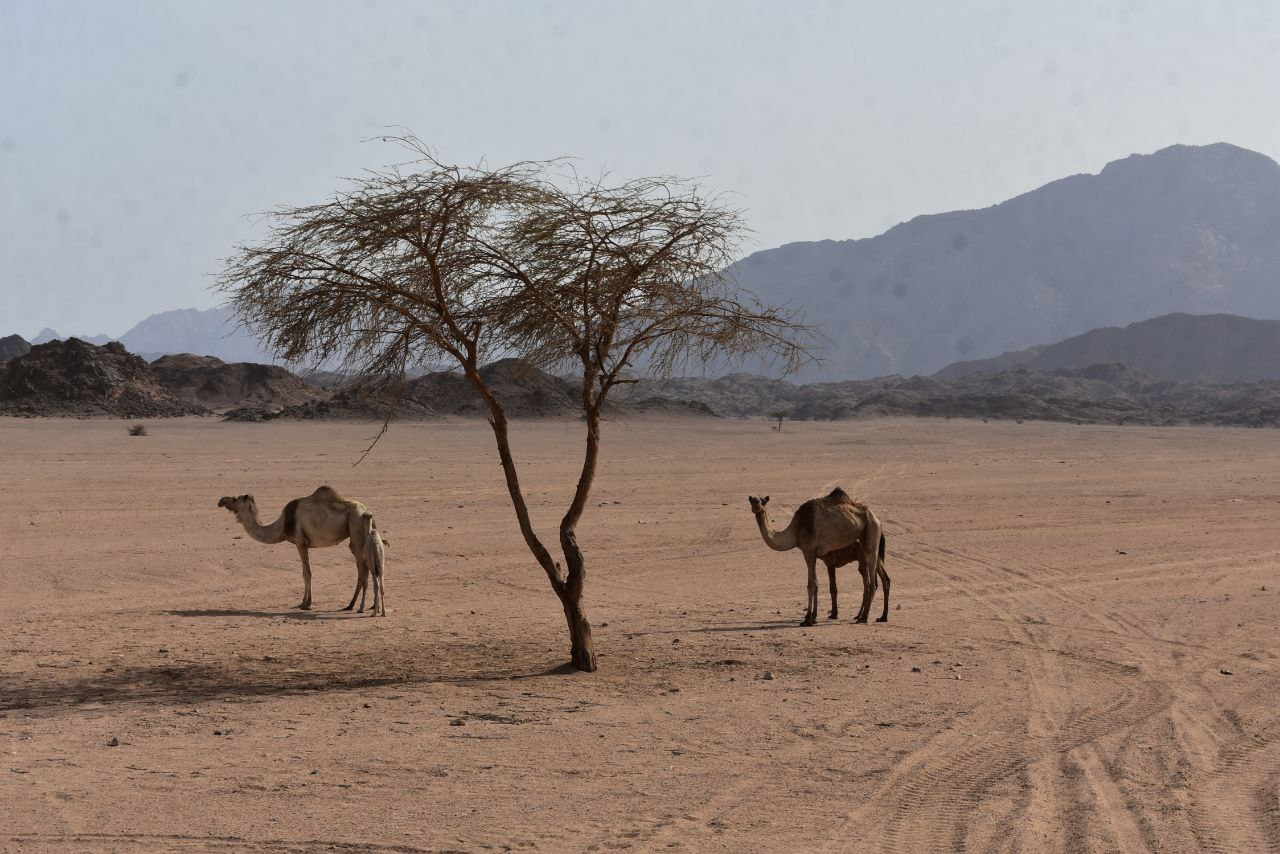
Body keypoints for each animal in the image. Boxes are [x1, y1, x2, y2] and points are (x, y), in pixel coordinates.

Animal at [220, 483, 384, 617]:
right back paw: (366, 606)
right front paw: (305, 602)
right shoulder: (301, 544)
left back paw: (354, 605)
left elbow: (306, 573)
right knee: (370, 569)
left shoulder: (300, 542)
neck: (282, 525)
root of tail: (366, 511)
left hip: (356, 531)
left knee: (363, 571)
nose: (221, 501)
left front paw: (305, 604)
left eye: (235, 499)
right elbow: (305, 572)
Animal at [747, 486, 890, 627]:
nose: (757, 506)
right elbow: (814, 584)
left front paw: (808, 620)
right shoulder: (812, 553)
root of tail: (878, 521)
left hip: (871, 533)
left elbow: (811, 585)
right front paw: (810, 617)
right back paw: (880, 617)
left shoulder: (809, 551)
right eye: (752, 500)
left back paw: (864, 618)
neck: (796, 529)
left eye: (763, 501)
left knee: (872, 582)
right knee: (879, 579)